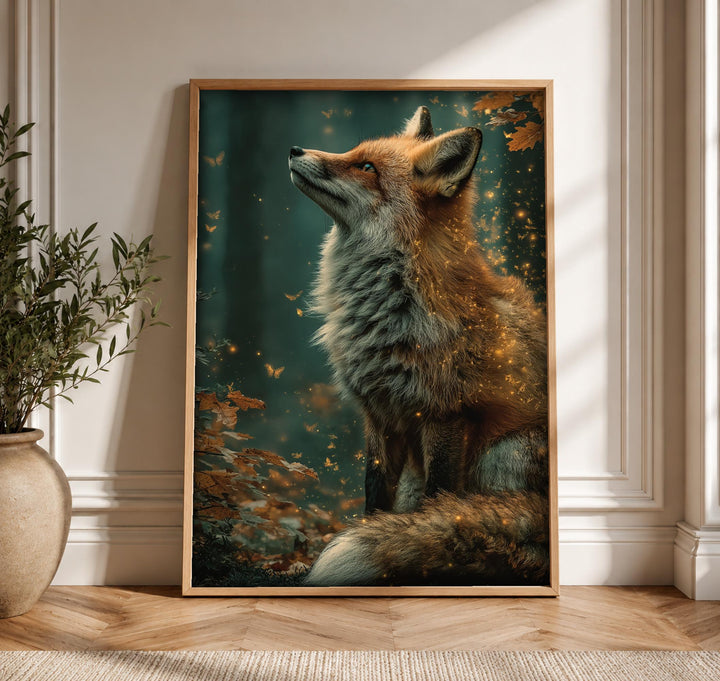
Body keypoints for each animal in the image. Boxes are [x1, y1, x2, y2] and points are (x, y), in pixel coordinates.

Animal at [288, 106, 550, 587]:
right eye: (354, 152)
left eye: (366, 168)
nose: (295, 150)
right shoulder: (378, 413)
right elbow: (374, 500)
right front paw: (379, 534)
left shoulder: (445, 413)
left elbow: (440, 502)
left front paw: (424, 547)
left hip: (504, 454)